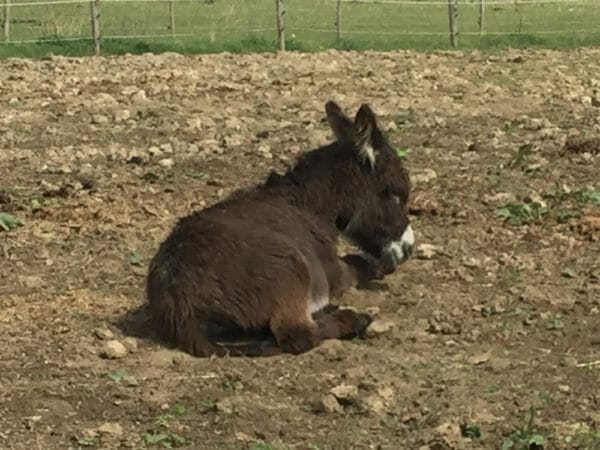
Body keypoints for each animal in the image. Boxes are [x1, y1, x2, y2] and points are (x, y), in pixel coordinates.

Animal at [148, 100, 414, 356]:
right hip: (289, 271)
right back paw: (353, 319)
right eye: (395, 194)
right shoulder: (333, 272)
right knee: (298, 336)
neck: (308, 205)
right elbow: (359, 264)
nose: (408, 249)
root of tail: (182, 304)